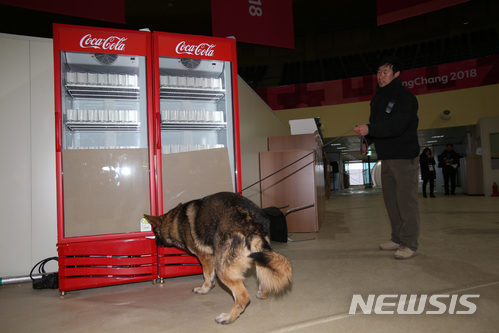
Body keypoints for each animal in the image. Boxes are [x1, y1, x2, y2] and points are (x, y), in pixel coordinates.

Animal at [144, 191, 292, 322]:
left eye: (154, 232)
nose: (155, 242)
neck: (175, 221)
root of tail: (253, 226)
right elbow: (210, 276)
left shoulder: (205, 257)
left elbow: (206, 275)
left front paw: (204, 289)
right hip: (260, 258)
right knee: (264, 280)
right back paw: (262, 294)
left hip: (223, 268)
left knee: (243, 296)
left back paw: (227, 318)